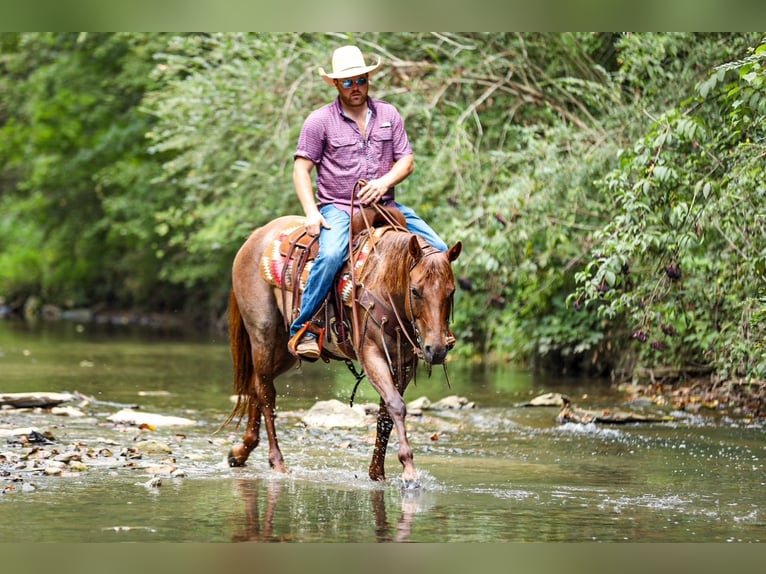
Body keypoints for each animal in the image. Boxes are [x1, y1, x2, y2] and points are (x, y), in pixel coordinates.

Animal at [223, 206, 461, 486]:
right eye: (415, 290)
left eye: (451, 291)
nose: (437, 349)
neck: (384, 280)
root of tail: (254, 237)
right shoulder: (370, 353)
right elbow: (396, 405)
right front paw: (409, 469)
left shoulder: (404, 362)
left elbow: (385, 414)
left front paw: (377, 473)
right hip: (263, 335)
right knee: (265, 392)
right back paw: (277, 462)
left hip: (284, 350)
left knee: (256, 385)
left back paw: (241, 451)